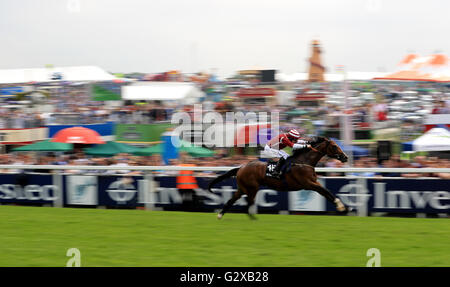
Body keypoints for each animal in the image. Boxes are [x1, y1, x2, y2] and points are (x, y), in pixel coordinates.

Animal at [207, 137, 352, 220]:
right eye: (334, 146)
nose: (345, 157)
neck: (304, 162)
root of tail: (241, 167)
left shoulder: (313, 182)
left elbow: (325, 192)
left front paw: (343, 207)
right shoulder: (308, 183)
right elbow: (326, 191)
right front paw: (341, 206)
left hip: (243, 188)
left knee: (233, 199)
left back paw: (221, 215)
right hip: (252, 188)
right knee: (248, 201)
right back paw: (251, 218)